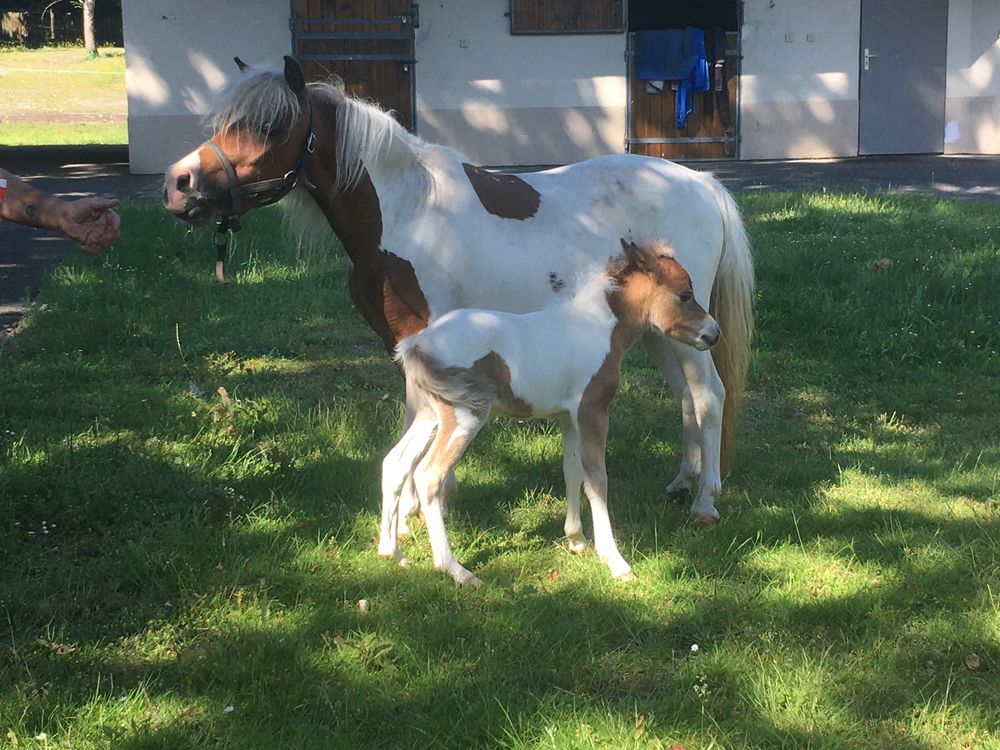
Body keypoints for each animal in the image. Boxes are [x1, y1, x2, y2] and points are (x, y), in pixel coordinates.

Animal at [162, 56, 754, 527]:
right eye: (225, 122)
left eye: (270, 125)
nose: (179, 185)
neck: (408, 209)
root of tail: (703, 183)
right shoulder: (405, 347)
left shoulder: (425, 340)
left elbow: (421, 425)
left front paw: (415, 511)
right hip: (663, 333)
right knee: (686, 398)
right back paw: (682, 483)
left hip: (689, 332)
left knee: (709, 395)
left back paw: (705, 502)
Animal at [381, 239, 720, 585]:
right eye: (684, 294)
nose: (713, 333)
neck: (598, 328)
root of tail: (419, 344)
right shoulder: (593, 411)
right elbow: (597, 479)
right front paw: (615, 561)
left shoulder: (568, 416)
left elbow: (572, 470)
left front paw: (576, 539)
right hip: (463, 417)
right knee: (428, 476)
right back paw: (454, 569)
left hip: (428, 416)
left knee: (395, 463)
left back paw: (392, 552)